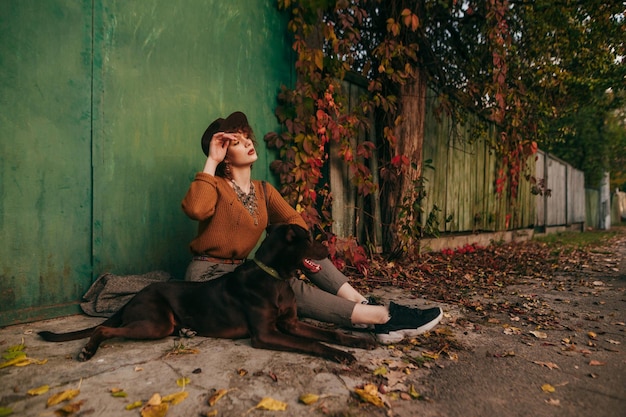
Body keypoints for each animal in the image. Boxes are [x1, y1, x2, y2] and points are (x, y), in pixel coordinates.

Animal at [42, 223, 380, 362]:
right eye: (308, 239)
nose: (330, 247)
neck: (275, 278)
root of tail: (136, 296)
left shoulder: (292, 323)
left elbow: (330, 333)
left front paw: (359, 341)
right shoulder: (266, 334)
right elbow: (313, 344)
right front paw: (341, 355)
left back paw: (188, 331)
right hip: (155, 322)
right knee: (103, 328)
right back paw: (88, 350)